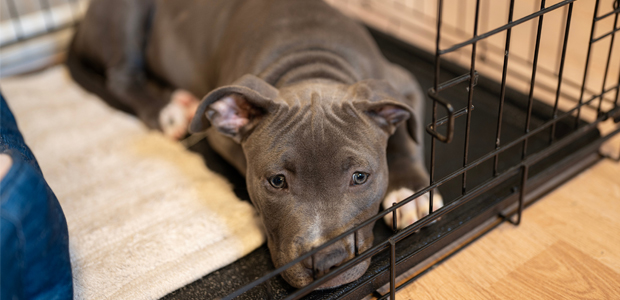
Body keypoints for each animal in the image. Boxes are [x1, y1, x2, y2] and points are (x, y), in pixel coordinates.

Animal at [68, 0, 444, 290]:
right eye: (277, 181)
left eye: (360, 177)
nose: (325, 261)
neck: (312, 62)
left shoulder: (403, 85)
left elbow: (405, 137)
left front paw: (412, 193)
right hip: (126, 14)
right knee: (121, 75)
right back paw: (168, 112)